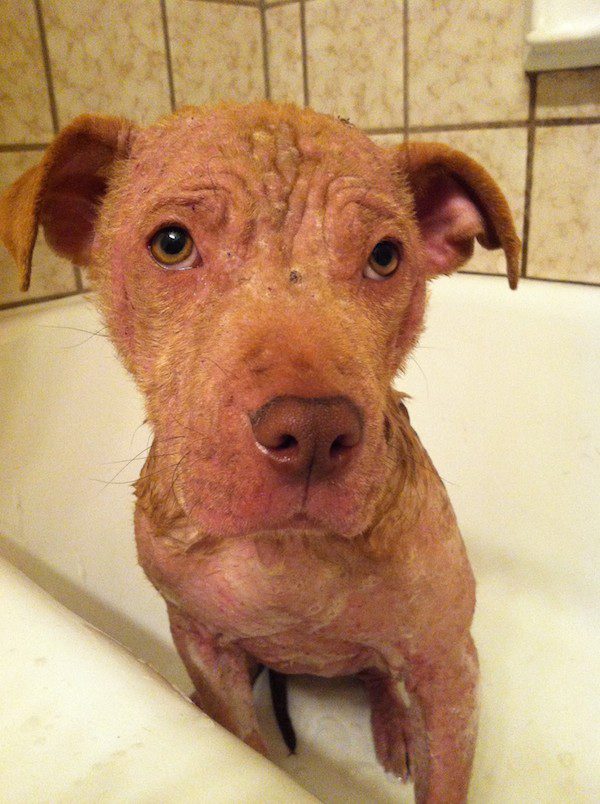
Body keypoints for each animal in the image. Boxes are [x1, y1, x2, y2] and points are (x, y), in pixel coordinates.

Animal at [0, 103, 516, 800]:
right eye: (171, 243)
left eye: (385, 257)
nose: (314, 430)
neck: (287, 553)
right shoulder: (206, 644)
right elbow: (242, 736)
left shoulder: (448, 668)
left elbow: (444, 777)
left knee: (379, 672)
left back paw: (393, 723)